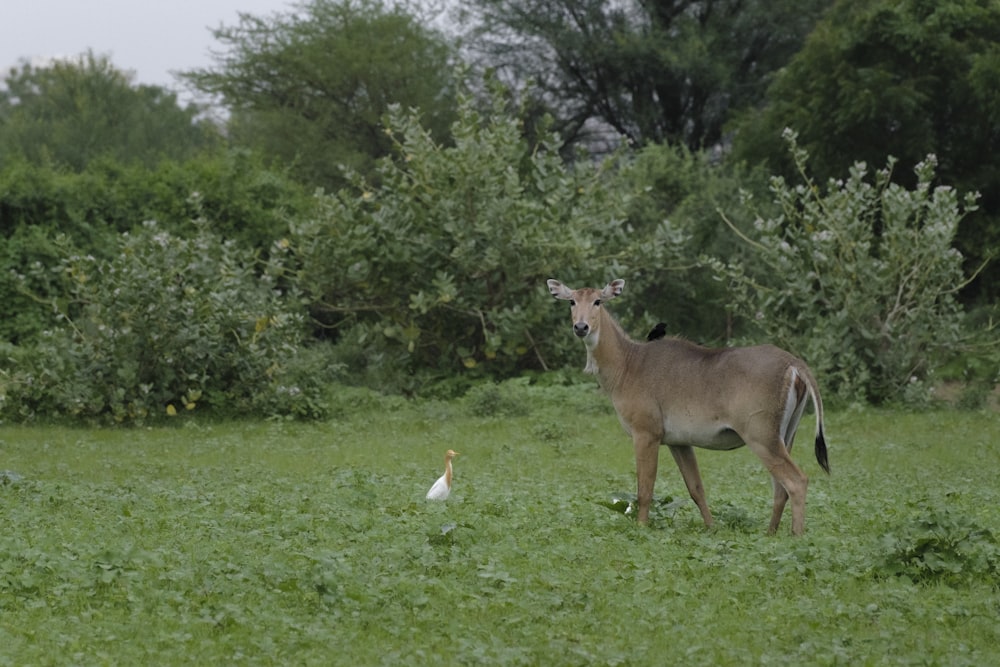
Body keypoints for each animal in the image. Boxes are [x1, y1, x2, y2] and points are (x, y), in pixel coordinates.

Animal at [548, 280, 828, 536]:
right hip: (785, 435)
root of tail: (794, 364)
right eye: (572, 301)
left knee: (796, 481)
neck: (627, 363)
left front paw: (641, 528)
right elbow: (695, 488)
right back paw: (770, 533)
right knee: (780, 488)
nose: (581, 327)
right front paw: (712, 528)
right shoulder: (679, 442)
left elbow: (645, 488)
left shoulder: (646, 434)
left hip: (761, 436)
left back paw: (797, 537)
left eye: (598, 301)